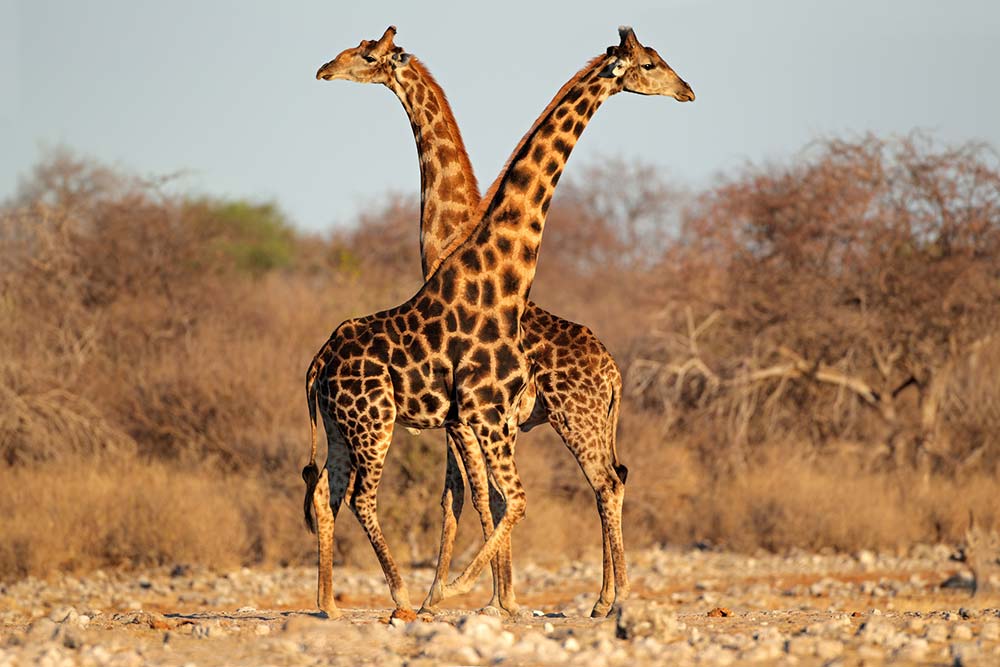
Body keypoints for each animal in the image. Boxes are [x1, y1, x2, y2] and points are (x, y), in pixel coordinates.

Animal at [303, 26, 694, 620]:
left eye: (365, 54)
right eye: (650, 63)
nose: (687, 90)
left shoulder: (478, 418)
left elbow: (483, 497)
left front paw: (484, 596)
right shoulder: (473, 417)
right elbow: (484, 497)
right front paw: (477, 595)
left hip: (557, 419)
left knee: (607, 480)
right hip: (371, 422)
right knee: (348, 494)